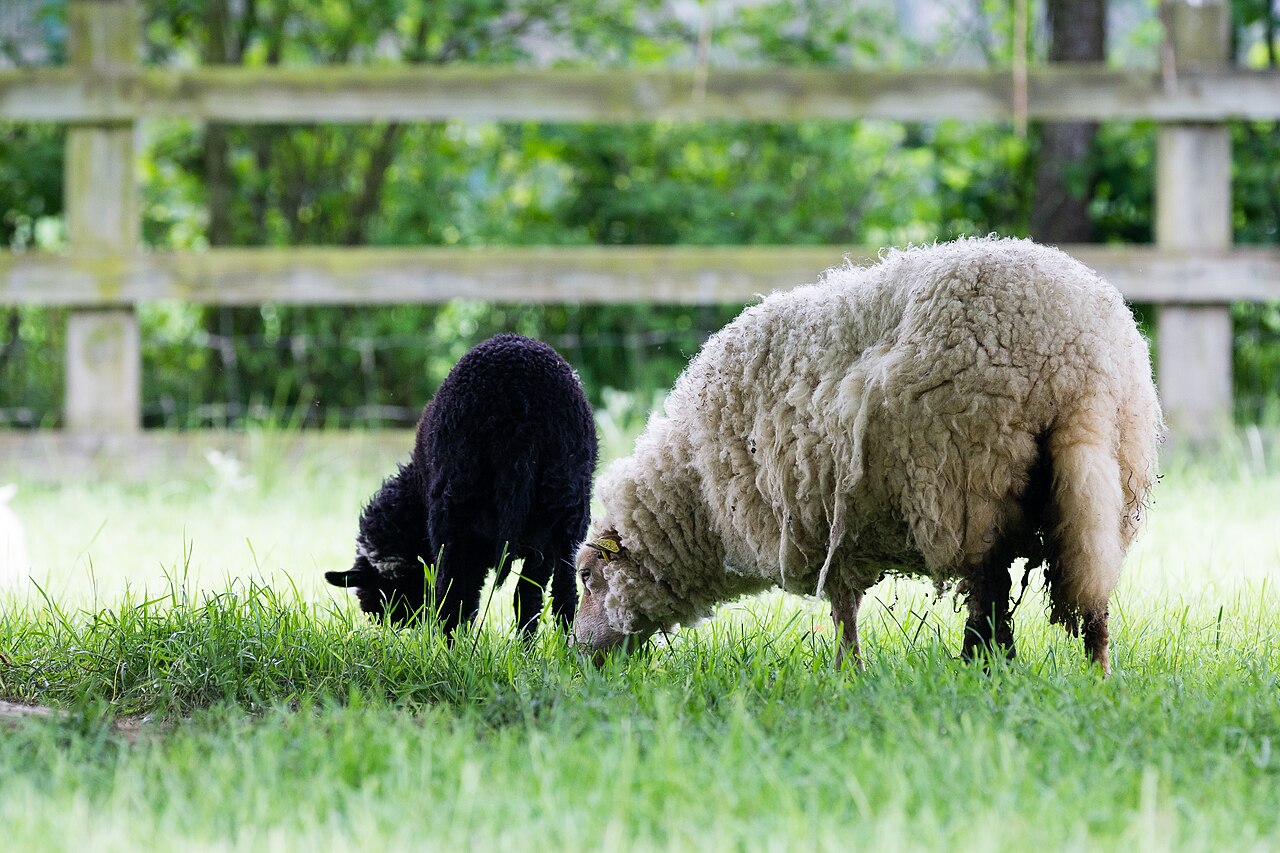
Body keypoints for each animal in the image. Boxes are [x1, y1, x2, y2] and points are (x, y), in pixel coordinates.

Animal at [326, 333, 597, 636]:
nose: (399, 624)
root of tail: (519, 398)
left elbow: (466, 598)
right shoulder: (542, 546)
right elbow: (527, 596)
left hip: (456, 503)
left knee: (452, 590)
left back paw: (447, 643)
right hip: (565, 501)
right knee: (561, 593)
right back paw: (564, 644)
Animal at [572, 237, 1162, 673]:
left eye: (585, 577)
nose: (577, 652)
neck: (695, 488)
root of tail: (1076, 359)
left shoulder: (824, 523)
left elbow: (843, 611)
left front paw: (847, 674)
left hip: (969, 477)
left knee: (987, 593)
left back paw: (980, 670)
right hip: (1101, 486)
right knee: (1091, 596)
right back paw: (1096, 676)